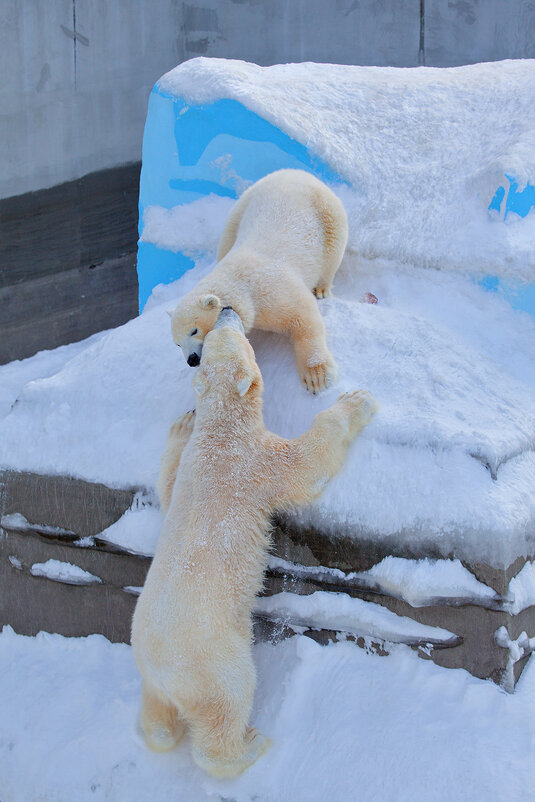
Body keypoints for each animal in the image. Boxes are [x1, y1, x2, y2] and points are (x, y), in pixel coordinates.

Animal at [132, 306, 376, 776]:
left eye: (213, 337)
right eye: (236, 337)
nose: (228, 310)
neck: (223, 427)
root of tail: (164, 675)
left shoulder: (193, 467)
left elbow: (169, 491)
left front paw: (182, 423)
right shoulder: (254, 462)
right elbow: (305, 466)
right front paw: (357, 401)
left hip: (148, 671)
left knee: (156, 717)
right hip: (214, 660)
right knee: (229, 701)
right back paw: (250, 745)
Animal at [170, 169, 350, 394]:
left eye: (194, 330)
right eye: (177, 344)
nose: (192, 360)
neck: (240, 283)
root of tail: (297, 172)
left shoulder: (270, 288)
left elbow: (303, 315)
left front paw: (316, 376)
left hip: (328, 214)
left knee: (333, 251)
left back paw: (322, 288)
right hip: (241, 208)